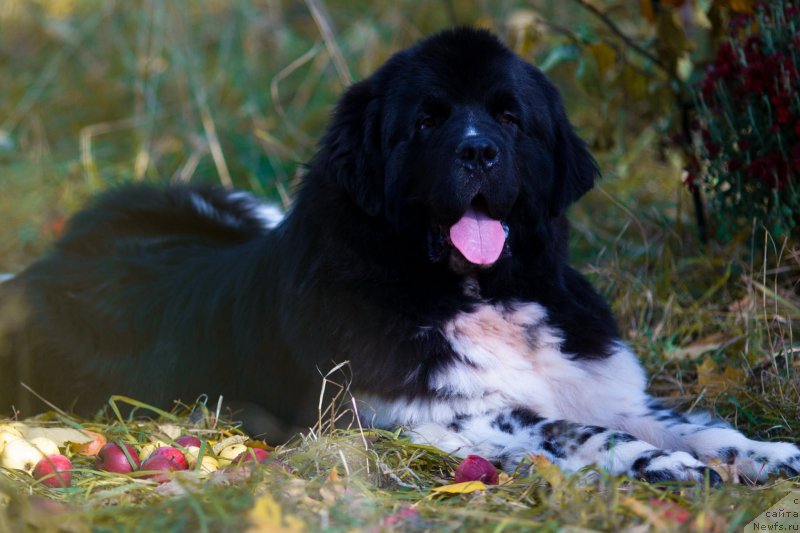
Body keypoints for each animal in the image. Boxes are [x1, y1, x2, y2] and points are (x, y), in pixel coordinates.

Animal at [0, 28, 796, 482]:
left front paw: (763, 451)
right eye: (426, 121)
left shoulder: (602, 380)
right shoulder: (427, 416)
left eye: (510, 116)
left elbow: (685, 419)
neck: (478, 292)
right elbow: (569, 428)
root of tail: (46, 263)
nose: (479, 152)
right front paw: (663, 463)